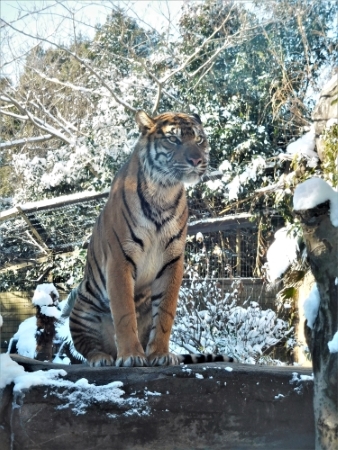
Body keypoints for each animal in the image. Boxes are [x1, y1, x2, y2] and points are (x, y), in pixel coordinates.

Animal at [68, 110, 235, 368]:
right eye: (174, 139)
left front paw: (160, 355)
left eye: (199, 140)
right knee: (88, 347)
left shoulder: (172, 260)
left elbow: (165, 313)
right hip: (83, 305)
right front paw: (131, 356)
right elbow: (124, 312)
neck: (163, 192)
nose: (197, 161)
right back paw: (102, 358)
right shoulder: (120, 259)